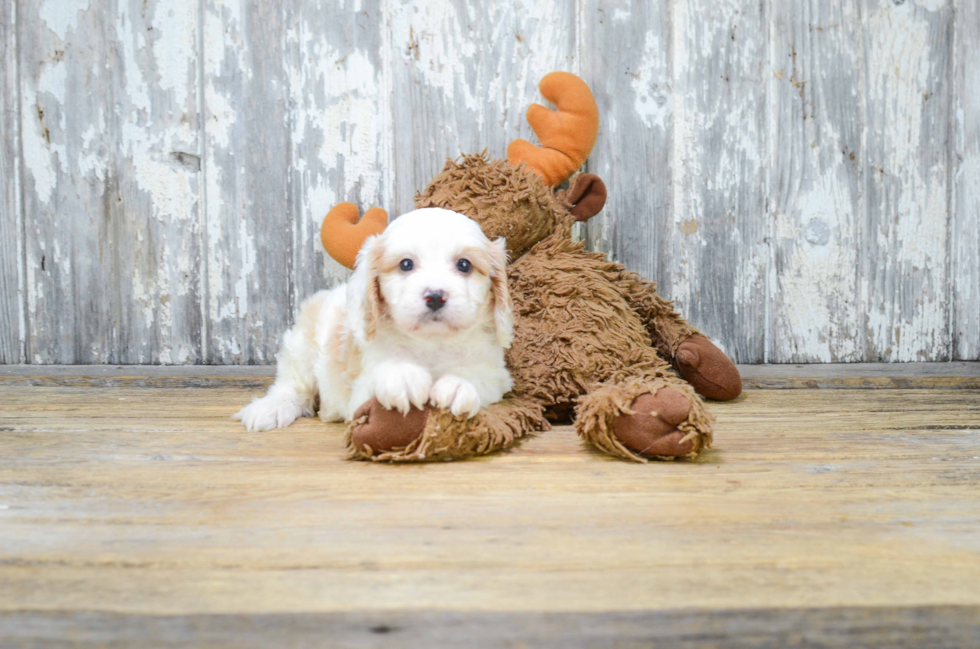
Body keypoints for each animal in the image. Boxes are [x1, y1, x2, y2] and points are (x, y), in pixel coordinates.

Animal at [235, 208, 512, 430]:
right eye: (406, 264)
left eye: (464, 265)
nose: (435, 296)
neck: (431, 343)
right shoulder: (359, 391)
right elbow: (380, 375)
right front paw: (402, 376)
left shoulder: (496, 376)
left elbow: (478, 378)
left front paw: (457, 385)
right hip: (301, 348)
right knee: (292, 386)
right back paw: (270, 409)